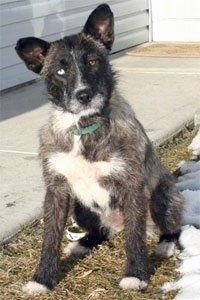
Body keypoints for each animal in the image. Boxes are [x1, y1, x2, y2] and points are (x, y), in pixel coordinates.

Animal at [15, 3, 183, 296]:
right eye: (60, 71)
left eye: (92, 61)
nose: (84, 95)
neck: (84, 128)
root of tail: (116, 224)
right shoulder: (56, 190)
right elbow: (50, 239)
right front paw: (42, 279)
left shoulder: (132, 187)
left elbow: (135, 239)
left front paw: (135, 275)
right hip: (81, 208)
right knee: (99, 232)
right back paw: (81, 243)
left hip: (163, 196)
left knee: (168, 226)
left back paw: (166, 243)